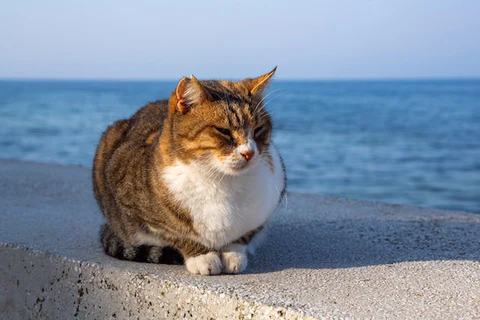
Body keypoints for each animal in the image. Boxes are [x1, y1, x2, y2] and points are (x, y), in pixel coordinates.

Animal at [93, 68, 286, 276]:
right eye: (223, 131)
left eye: (258, 129)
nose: (249, 152)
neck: (219, 179)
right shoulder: (132, 201)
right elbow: (175, 231)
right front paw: (202, 256)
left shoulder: (273, 192)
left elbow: (245, 233)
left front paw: (233, 252)